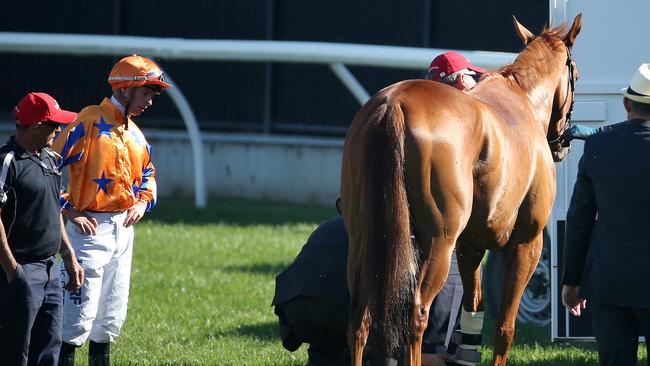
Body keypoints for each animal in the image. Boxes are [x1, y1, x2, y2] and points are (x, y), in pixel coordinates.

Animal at [340, 15, 584, 366]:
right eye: (575, 73)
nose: (562, 142)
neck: (521, 97)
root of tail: (394, 104)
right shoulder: (528, 243)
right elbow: (504, 326)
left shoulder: (470, 246)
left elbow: (473, 310)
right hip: (440, 242)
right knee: (417, 313)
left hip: (365, 238)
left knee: (361, 316)